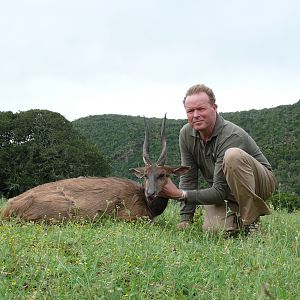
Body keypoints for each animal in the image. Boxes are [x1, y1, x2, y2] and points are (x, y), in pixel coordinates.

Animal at [1, 116, 190, 221]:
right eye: (144, 175)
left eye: (163, 174)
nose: (150, 193)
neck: (148, 205)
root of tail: (7, 209)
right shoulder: (132, 217)